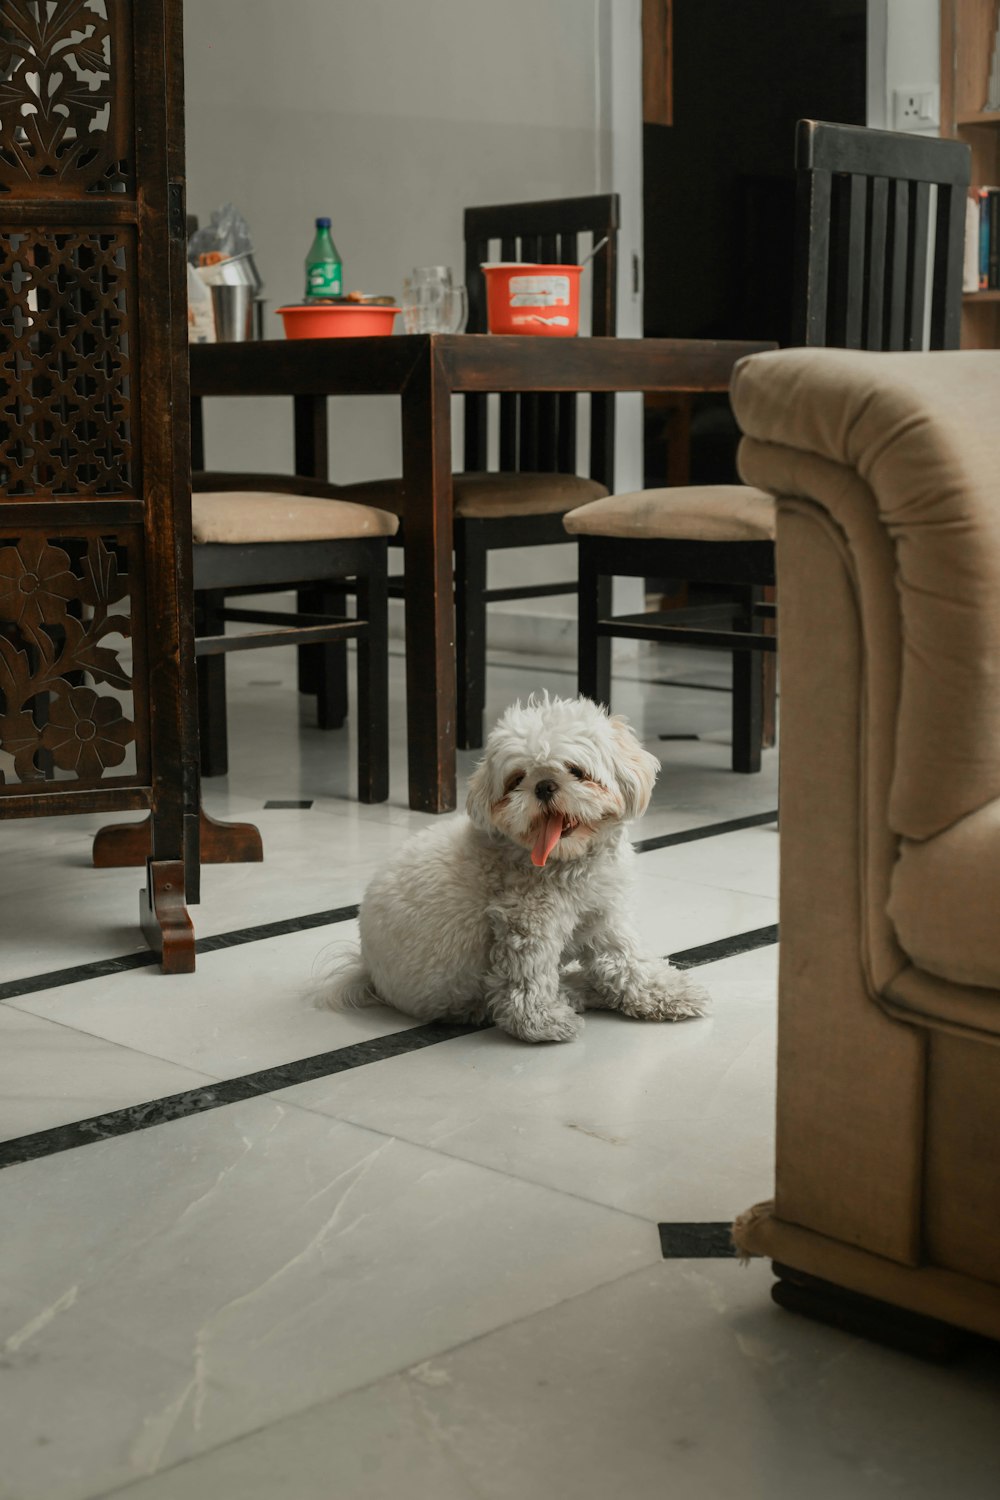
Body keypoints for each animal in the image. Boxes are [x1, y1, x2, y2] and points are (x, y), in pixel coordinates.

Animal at [332, 693, 716, 1038]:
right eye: (517, 779)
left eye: (576, 771)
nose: (544, 786)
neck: (570, 862)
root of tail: (369, 973)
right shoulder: (527, 923)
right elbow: (529, 976)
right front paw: (540, 1022)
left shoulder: (603, 915)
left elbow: (627, 960)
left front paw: (666, 994)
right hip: (456, 994)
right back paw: (575, 992)